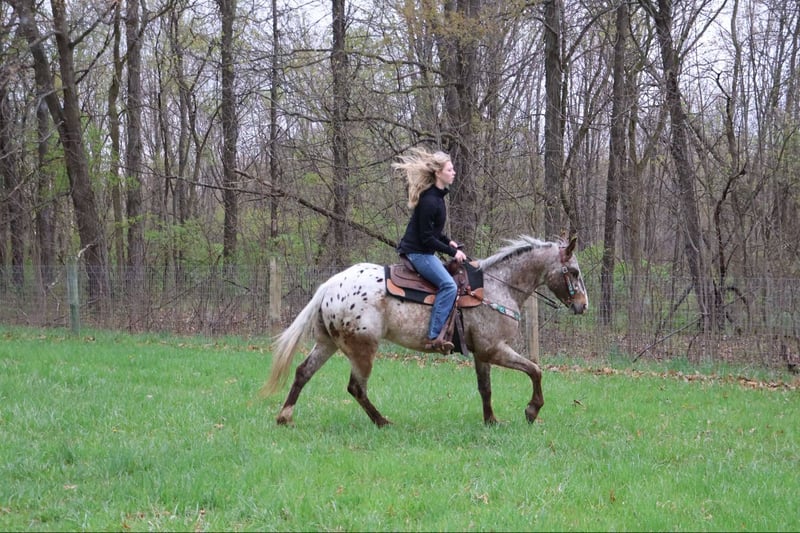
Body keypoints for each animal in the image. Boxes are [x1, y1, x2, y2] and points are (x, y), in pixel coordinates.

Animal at [260, 235, 588, 426]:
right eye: (573, 272)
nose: (583, 306)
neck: (497, 287)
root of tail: (328, 285)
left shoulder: (482, 353)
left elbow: (485, 388)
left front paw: (491, 421)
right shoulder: (495, 349)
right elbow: (535, 370)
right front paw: (532, 410)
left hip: (328, 343)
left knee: (303, 372)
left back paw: (285, 417)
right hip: (363, 348)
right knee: (356, 387)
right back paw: (382, 422)